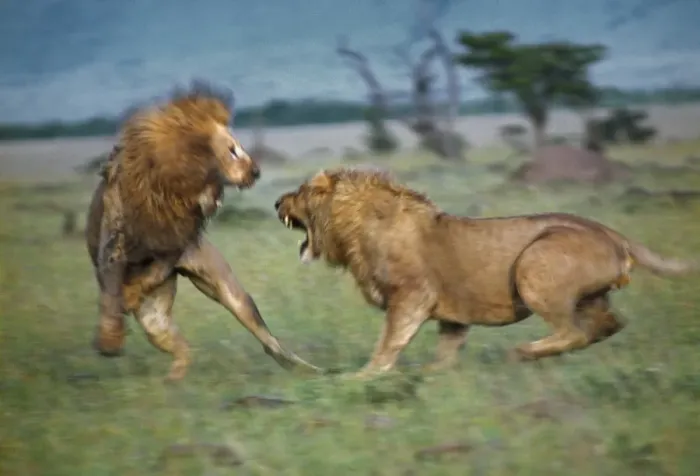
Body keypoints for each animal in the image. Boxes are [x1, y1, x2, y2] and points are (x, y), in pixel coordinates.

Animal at [86, 86, 321, 380]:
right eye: (232, 151)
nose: (256, 171)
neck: (175, 188)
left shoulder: (174, 246)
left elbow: (147, 275)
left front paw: (128, 296)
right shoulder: (114, 244)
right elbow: (110, 295)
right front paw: (110, 339)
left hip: (227, 294)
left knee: (269, 342)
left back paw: (311, 370)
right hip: (155, 323)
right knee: (183, 348)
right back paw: (173, 380)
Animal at [274, 166, 699, 379]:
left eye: (300, 191)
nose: (277, 201)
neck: (353, 229)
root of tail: (610, 231)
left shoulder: (412, 296)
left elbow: (389, 343)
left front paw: (364, 376)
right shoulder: (452, 315)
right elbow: (446, 350)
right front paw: (433, 373)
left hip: (534, 266)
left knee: (573, 331)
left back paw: (524, 352)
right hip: (590, 296)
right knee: (609, 324)